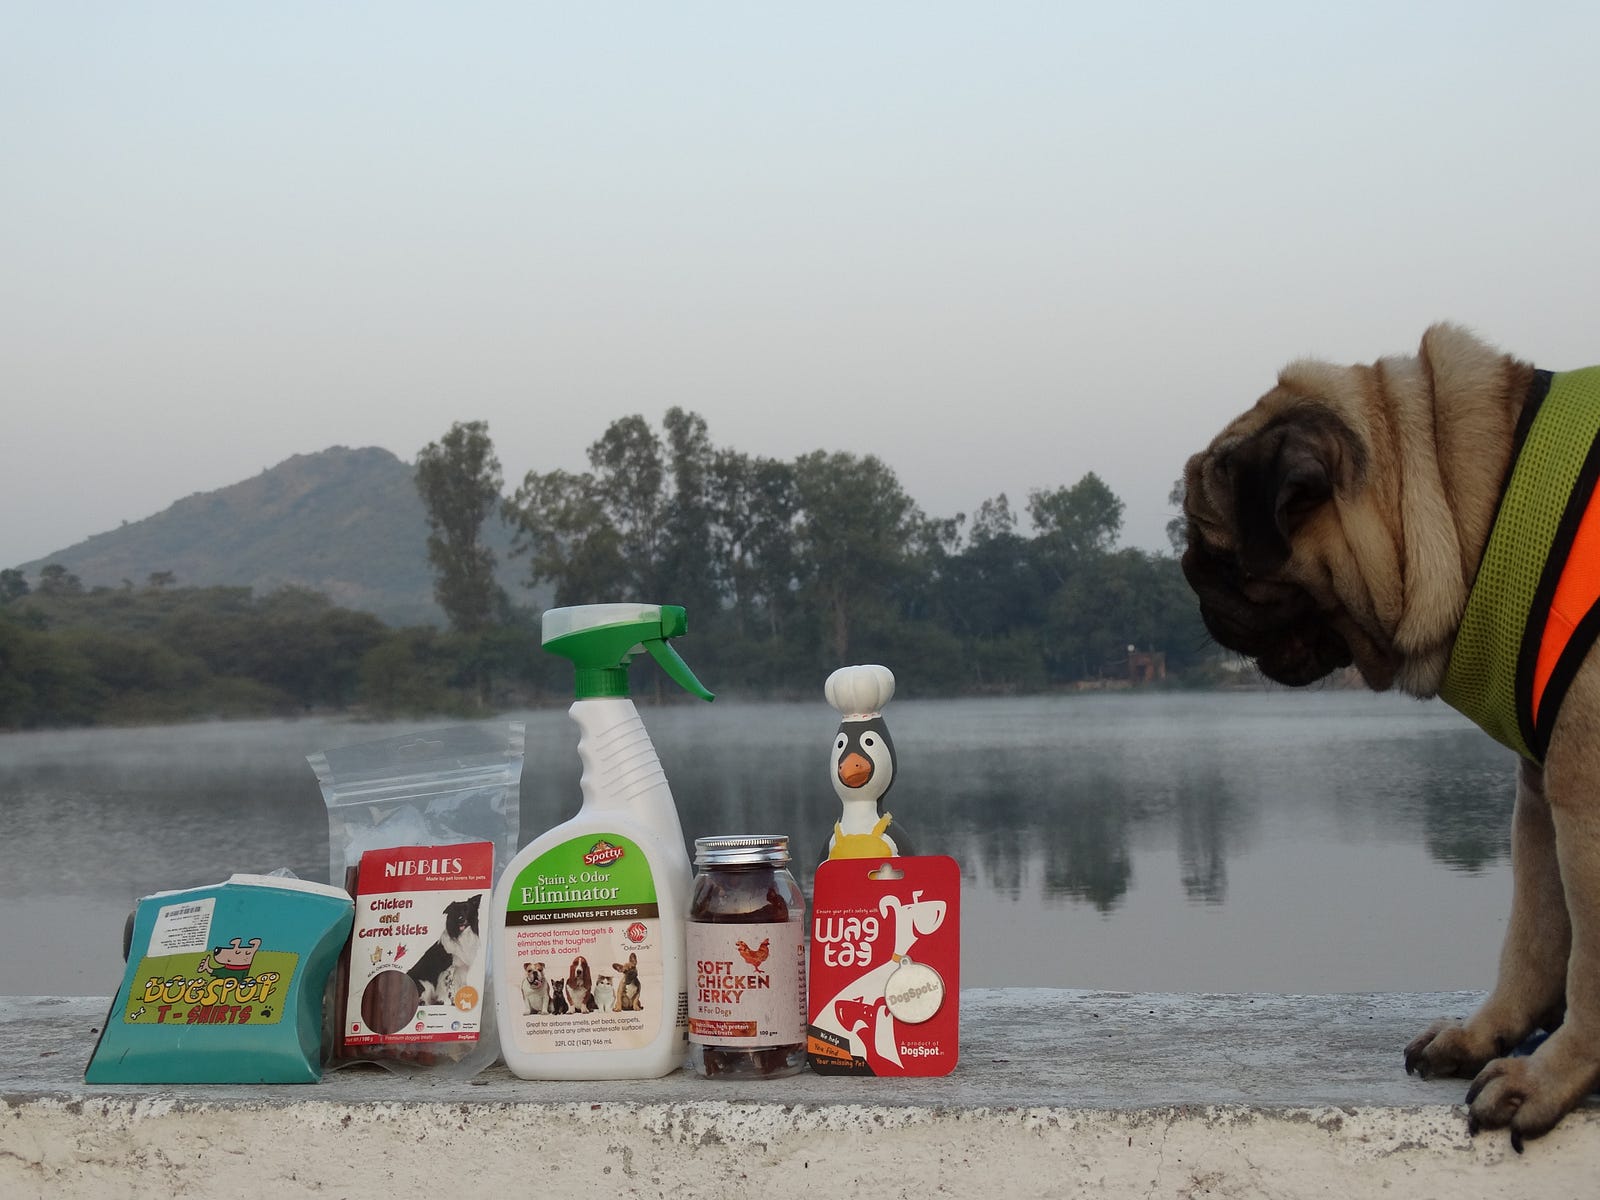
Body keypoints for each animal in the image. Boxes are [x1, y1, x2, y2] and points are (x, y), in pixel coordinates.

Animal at [1181, 323, 1600, 1147]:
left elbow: (1587, 966)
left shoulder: (1585, 792)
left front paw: (1548, 1077)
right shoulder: (1541, 792)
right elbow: (1533, 935)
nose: (1184, 569)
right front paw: (1488, 1036)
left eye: (1217, 552)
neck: (1479, 501)